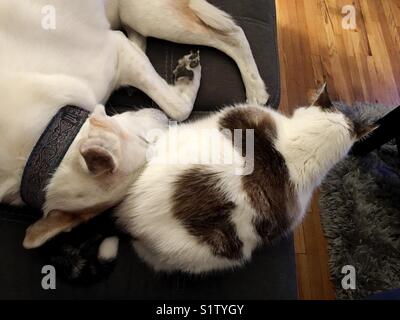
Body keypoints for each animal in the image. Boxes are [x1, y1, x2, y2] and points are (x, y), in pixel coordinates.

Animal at [0, 0, 268, 249]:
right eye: (147, 143)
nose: (165, 122)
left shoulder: (117, 49)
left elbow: (177, 107)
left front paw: (186, 81)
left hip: (144, 14)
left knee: (231, 35)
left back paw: (255, 89)